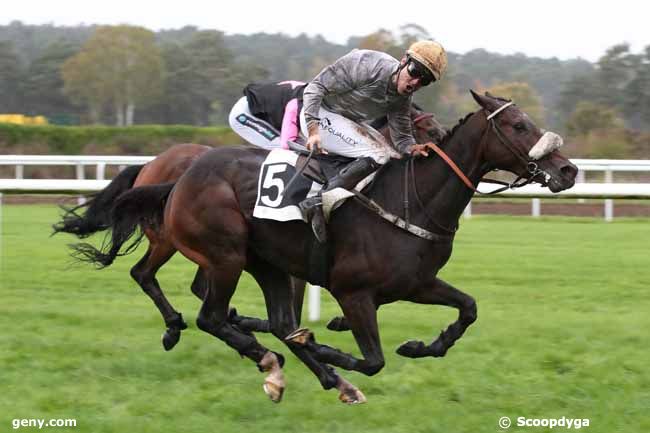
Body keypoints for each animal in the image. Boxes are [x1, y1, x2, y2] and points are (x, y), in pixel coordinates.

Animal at [55, 105, 446, 352]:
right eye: (426, 126)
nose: (442, 139)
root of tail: (152, 165)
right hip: (177, 240)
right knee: (145, 274)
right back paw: (179, 325)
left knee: (180, 282)